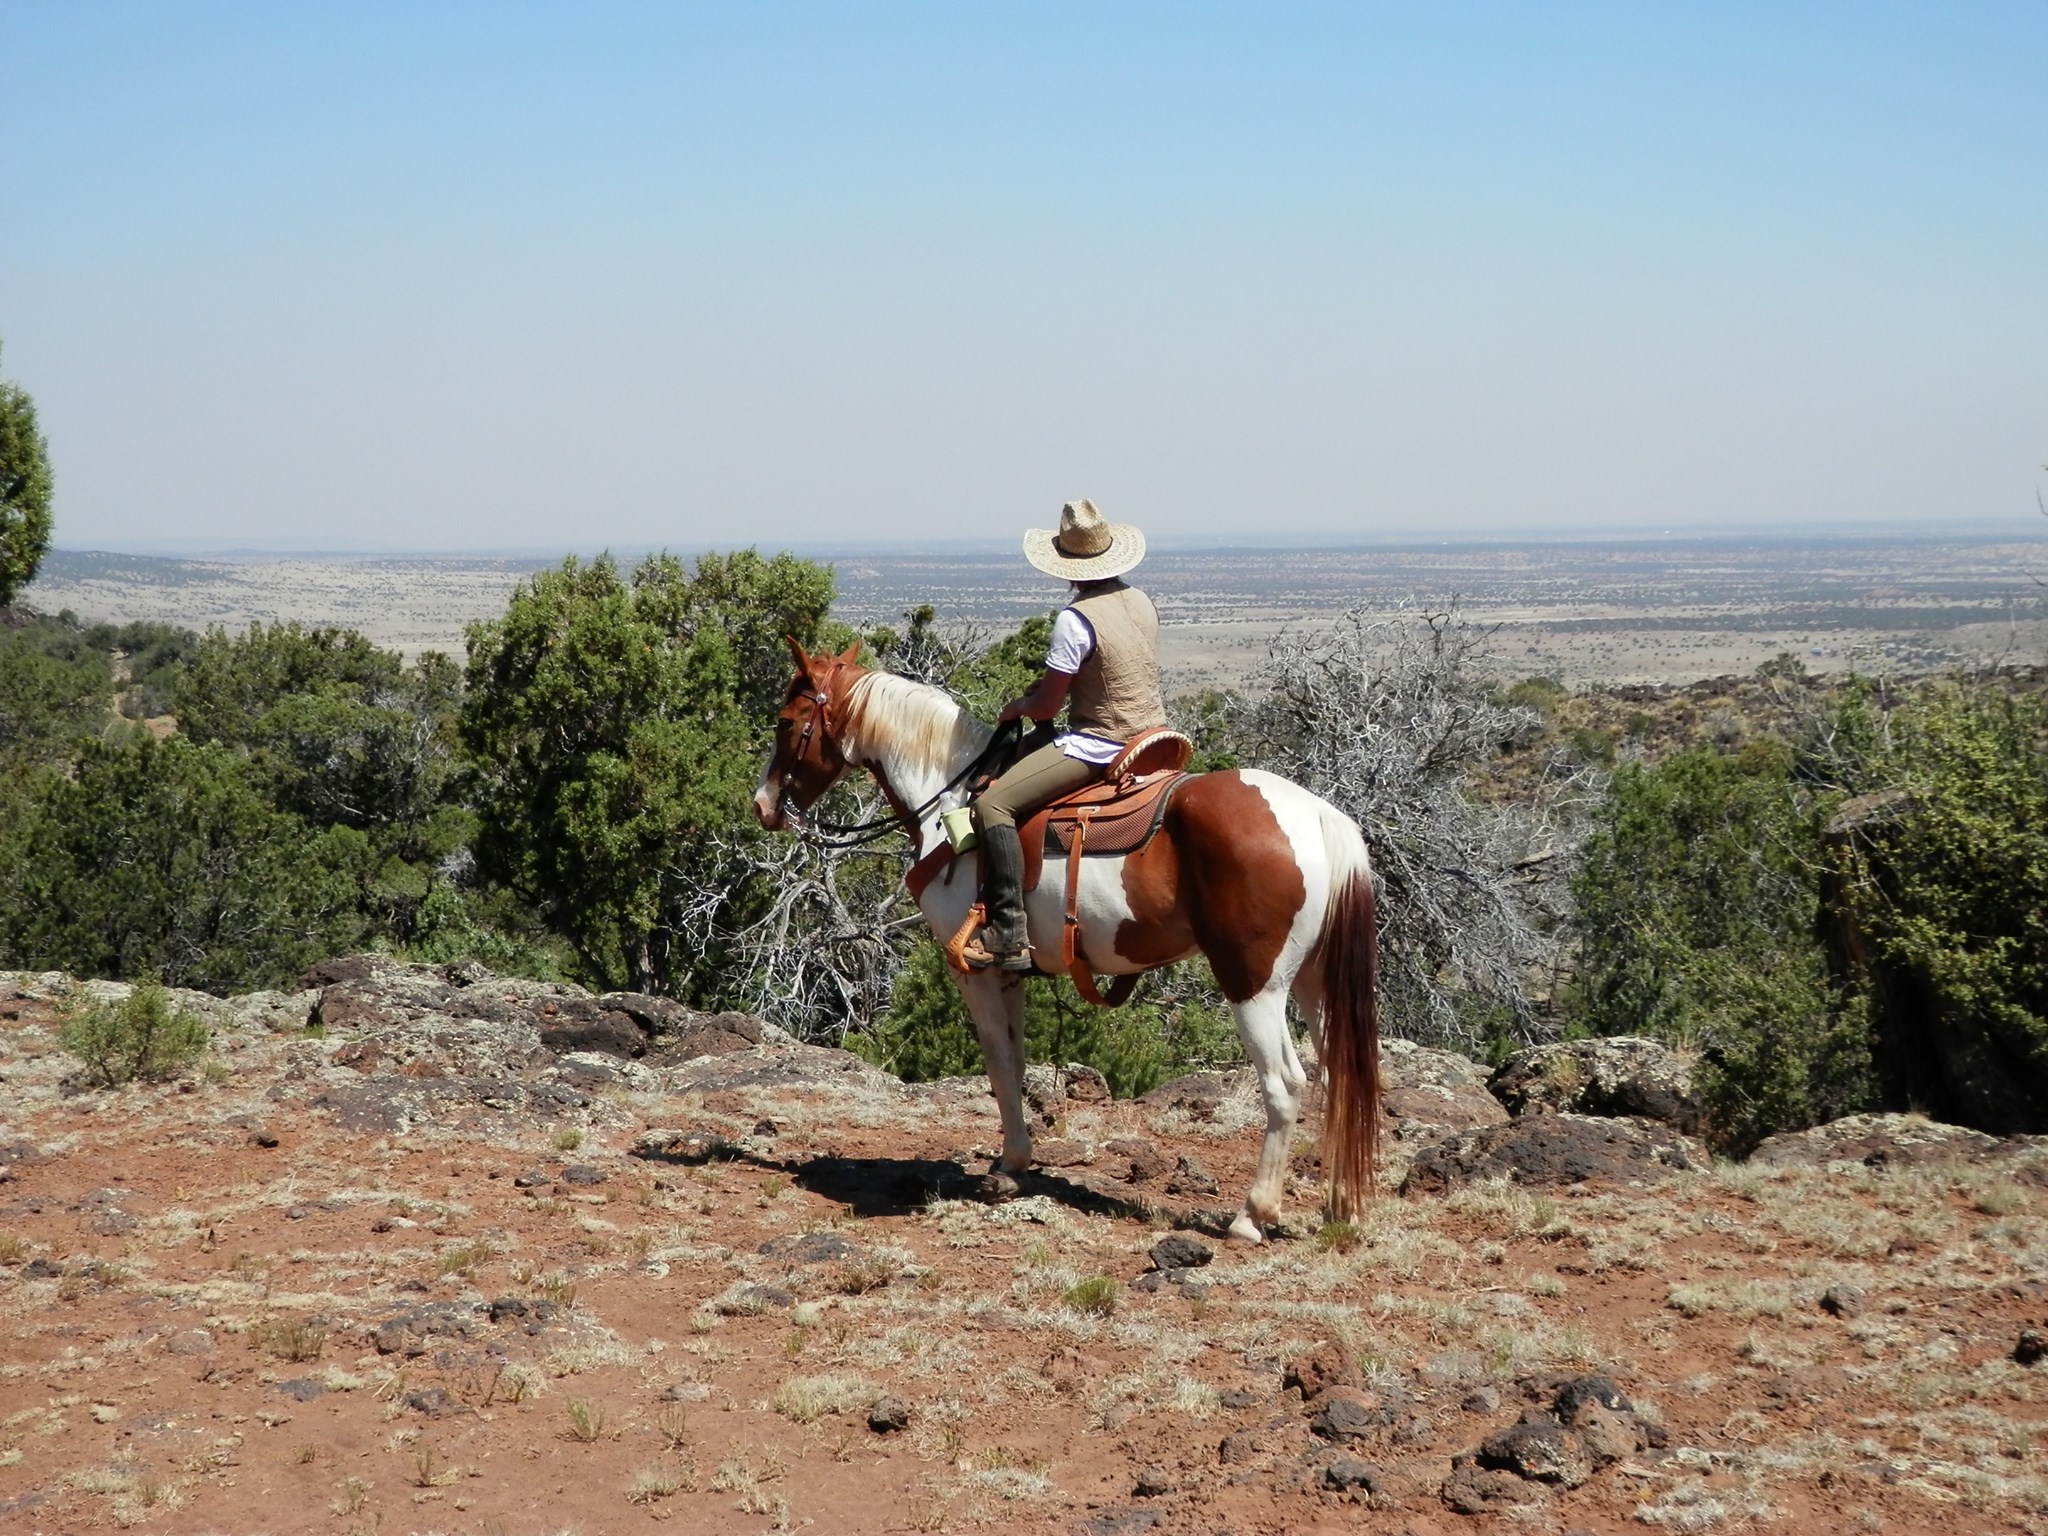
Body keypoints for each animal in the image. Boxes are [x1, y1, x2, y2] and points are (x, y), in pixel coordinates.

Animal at [753, 640, 1380, 1240]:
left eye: (786, 721)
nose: (764, 806)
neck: (950, 803)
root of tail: (1319, 818)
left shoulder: (974, 970)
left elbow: (999, 1063)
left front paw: (1009, 1165)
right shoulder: (1010, 972)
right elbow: (1017, 1062)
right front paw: (1016, 1162)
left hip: (1253, 983)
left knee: (1285, 1085)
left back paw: (1252, 1216)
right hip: (1313, 983)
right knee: (1339, 1076)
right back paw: (1341, 1208)